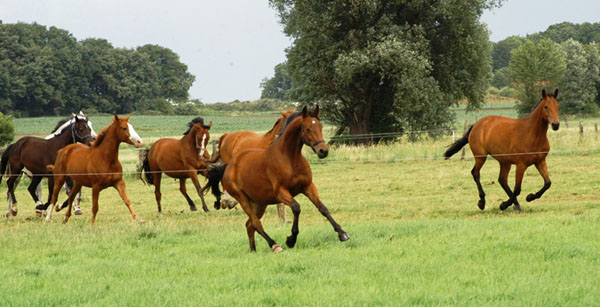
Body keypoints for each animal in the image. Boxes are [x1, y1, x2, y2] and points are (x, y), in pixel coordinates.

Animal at [207, 106, 350, 253]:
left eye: (320, 126)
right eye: (308, 128)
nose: (323, 151)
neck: (290, 158)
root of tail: (229, 166)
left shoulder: (308, 187)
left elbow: (323, 208)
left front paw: (342, 233)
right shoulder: (281, 193)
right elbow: (296, 208)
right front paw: (291, 240)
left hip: (259, 203)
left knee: (249, 225)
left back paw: (253, 250)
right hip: (243, 199)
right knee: (256, 223)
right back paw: (275, 245)